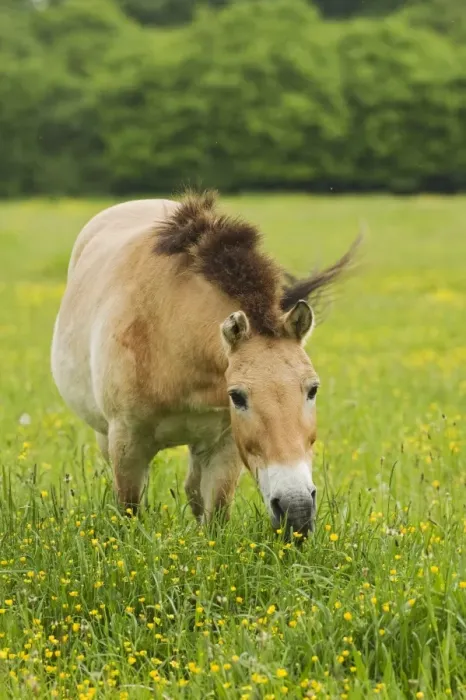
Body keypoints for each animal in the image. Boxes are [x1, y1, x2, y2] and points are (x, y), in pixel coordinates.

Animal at [51, 191, 357, 536]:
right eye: (237, 396)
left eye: (313, 389)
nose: (297, 510)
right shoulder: (126, 443)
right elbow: (129, 509)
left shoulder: (224, 445)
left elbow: (214, 514)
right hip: (105, 436)